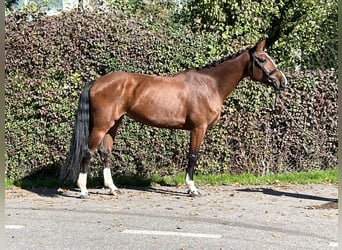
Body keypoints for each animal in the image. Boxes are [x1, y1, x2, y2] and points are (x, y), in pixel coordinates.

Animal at [60, 38, 286, 197]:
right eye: (263, 59)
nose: (282, 81)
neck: (209, 84)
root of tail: (97, 82)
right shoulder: (198, 128)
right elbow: (193, 156)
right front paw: (192, 189)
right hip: (101, 125)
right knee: (88, 151)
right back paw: (83, 190)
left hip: (114, 124)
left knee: (105, 152)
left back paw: (113, 188)